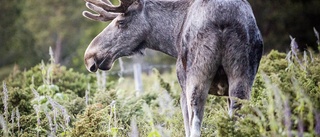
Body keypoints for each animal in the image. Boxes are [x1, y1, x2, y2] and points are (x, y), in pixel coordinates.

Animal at [82, 0, 262, 135]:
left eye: (120, 22)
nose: (89, 56)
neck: (172, 38)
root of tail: (225, 19)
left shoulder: (182, 88)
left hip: (196, 79)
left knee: (195, 126)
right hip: (241, 79)